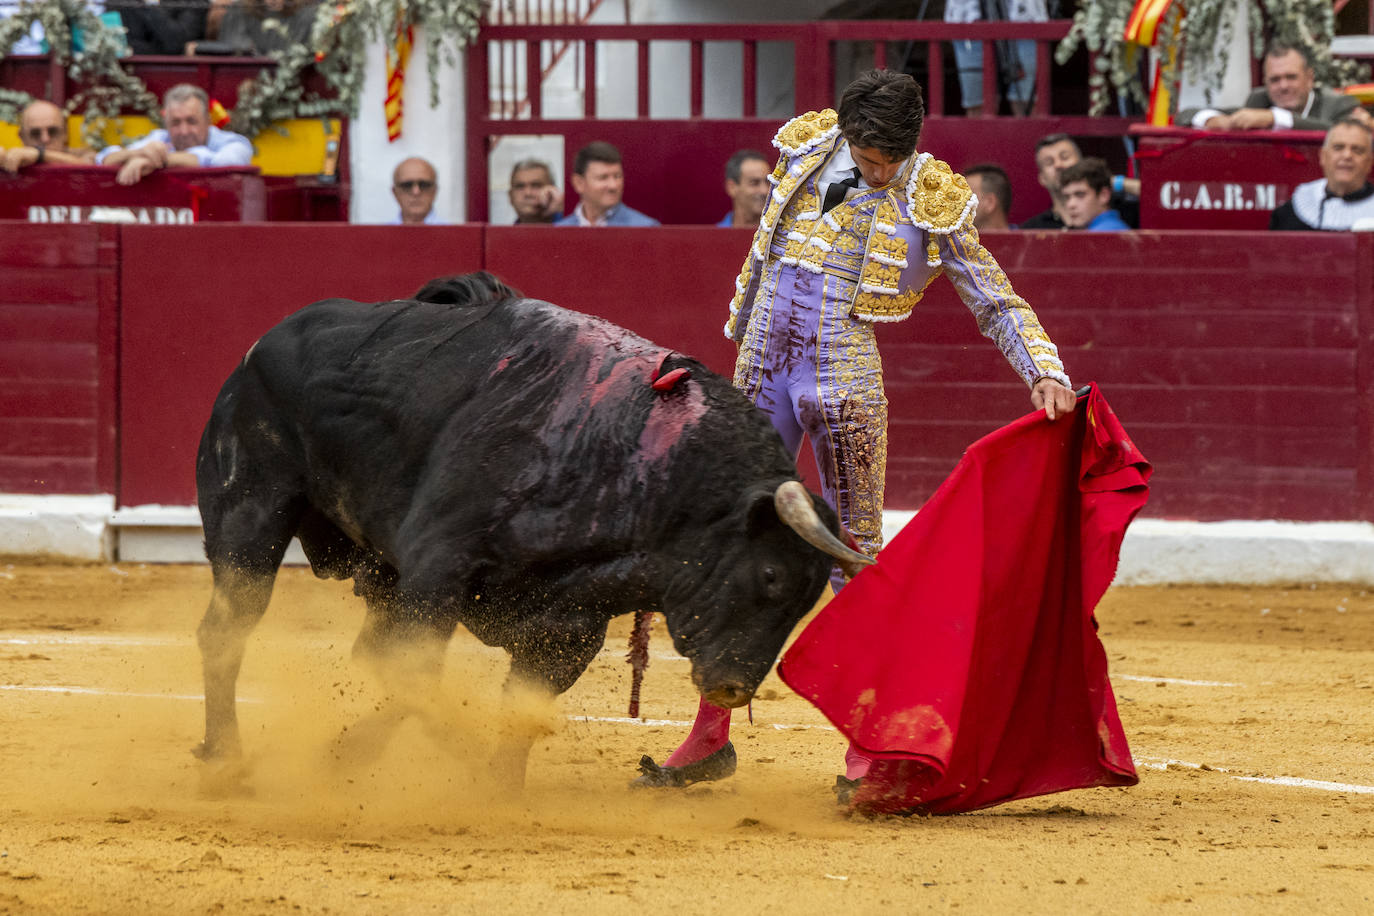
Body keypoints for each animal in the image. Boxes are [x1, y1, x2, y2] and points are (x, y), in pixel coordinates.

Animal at [193, 280, 868, 780]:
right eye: (771, 574)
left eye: (807, 601)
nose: (734, 687)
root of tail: (263, 344)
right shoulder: (438, 570)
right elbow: (416, 679)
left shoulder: (569, 627)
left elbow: (512, 708)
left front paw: (496, 788)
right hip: (249, 517)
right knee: (226, 631)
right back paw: (225, 759)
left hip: (376, 572)